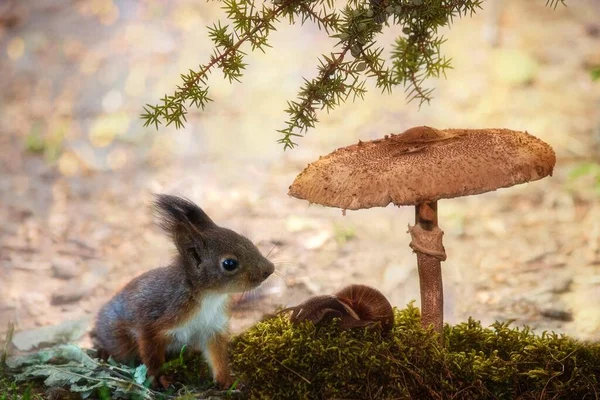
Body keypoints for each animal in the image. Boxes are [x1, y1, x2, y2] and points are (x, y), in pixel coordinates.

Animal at [92, 194, 276, 388]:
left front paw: (227, 380)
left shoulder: (213, 327)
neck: (209, 296)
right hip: (118, 337)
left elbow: (217, 355)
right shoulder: (155, 321)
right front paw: (159, 377)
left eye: (247, 241)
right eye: (229, 264)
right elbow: (151, 354)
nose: (270, 269)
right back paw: (102, 351)